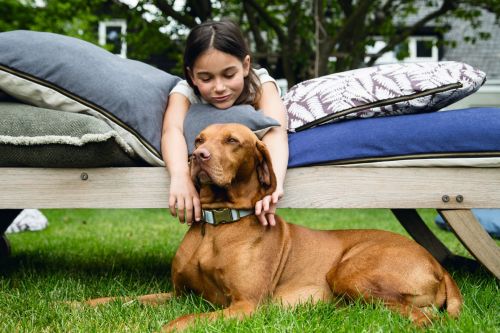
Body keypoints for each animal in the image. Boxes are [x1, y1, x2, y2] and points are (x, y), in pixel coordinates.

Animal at [84, 123, 462, 330]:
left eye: (232, 141)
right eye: (199, 139)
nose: (197, 157)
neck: (217, 226)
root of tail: (438, 265)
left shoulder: (244, 306)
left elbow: (183, 320)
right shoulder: (180, 294)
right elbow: (122, 299)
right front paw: (78, 305)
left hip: (349, 272)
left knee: (425, 318)